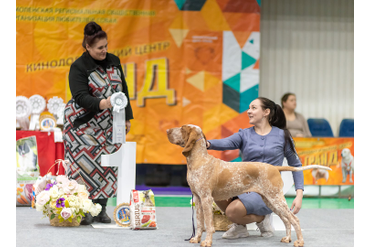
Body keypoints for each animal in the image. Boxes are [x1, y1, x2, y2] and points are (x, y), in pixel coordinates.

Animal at [166, 124, 330, 247]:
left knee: (294, 219)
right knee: (286, 220)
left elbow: (208, 224)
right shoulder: (198, 198)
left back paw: (299, 241)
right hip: (271, 201)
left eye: (182, 128)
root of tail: (274, 167)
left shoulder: (206, 198)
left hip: (275, 199)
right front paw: (196, 239)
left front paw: (207, 242)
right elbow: (200, 223)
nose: (167, 130)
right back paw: (287, 238)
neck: (199, 160)